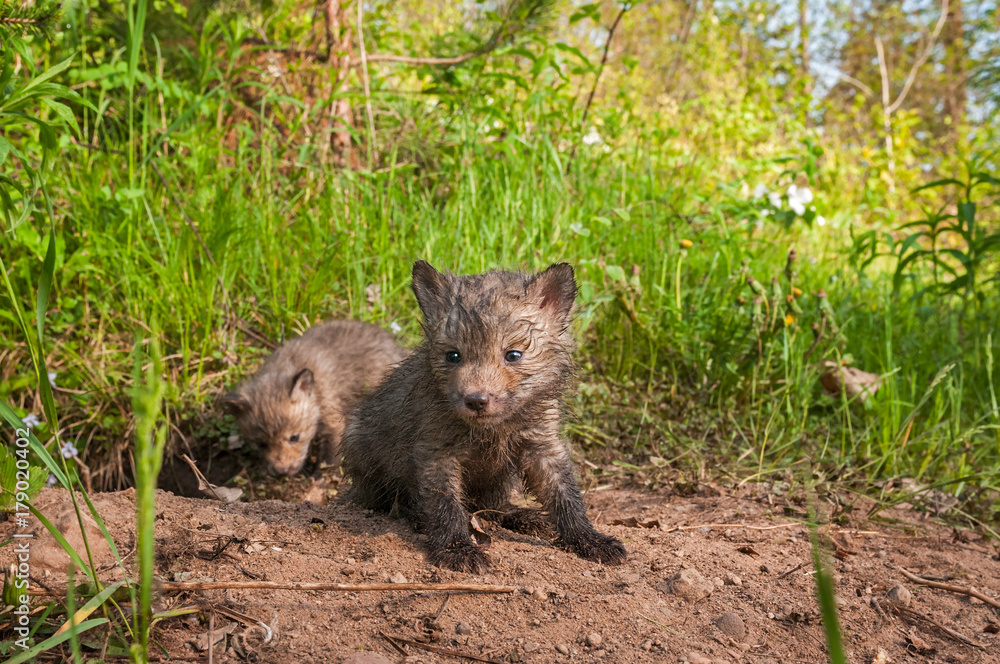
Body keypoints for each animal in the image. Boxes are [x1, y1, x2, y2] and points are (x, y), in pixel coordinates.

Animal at [221, 320, 407, 476]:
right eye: (261, 444)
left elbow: (329, 457)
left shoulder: (332, 418)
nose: (282, 471)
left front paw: (319, 477)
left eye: (294, 437)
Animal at [341, 261, 626, 572]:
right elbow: (445, 505)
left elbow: (565, 494)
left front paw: (589, 539)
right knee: (394, 501)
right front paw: (457, 548)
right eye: (453, 356)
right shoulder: (437, 451)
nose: (476, 400)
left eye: (513, 355)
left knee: (493, 508)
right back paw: (417, 516)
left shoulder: (542, 443)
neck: (493, 431)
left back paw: (523, 517)